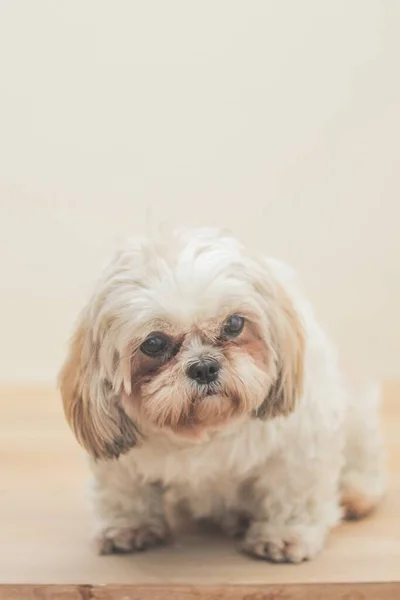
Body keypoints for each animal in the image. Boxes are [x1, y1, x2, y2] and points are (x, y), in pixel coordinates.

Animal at [58, 226, 384, 564]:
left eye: (234, 323)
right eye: (154, 343)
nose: (204, 367)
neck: (207, 431)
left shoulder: (300, 444)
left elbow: (292, 492)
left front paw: (285, 534)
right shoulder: (120, 462)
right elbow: (124, 493)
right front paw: (128, 526)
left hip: (359, 423)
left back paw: (355, 493)